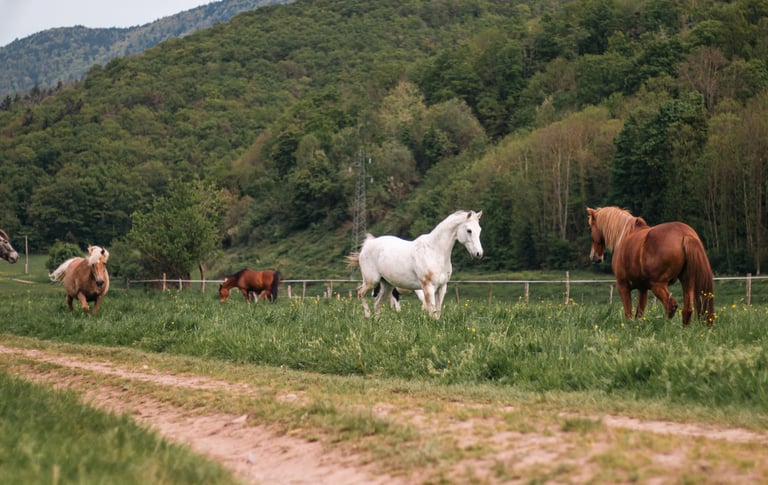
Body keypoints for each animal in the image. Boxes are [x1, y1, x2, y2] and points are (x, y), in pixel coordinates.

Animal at [347, 210, 483, 319]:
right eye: (469, 230)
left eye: (479, 230)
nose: (479, 253)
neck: (434, 251)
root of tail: (367, 245)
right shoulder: (428, 287)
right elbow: (432, 311)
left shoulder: (441, 287)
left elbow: (438, 311)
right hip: (372, 281)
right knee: (360, 293)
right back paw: (367, 315)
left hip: (387, 285)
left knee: (377, 303)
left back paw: (377, 320)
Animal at [587, 206, 715, 326]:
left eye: (590, 228)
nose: (594, 257)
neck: (626, 234)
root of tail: (684, 233)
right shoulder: (643, 289)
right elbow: (639, 314)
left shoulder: (623, 286)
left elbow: (629, 314)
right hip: (687, 282)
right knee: (687, 310)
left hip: (658, 285)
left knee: (671, 306)